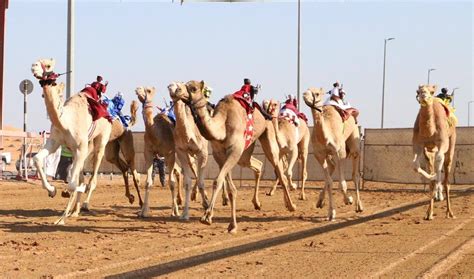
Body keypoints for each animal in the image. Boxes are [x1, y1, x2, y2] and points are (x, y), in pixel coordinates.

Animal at [32, 58, 112, 225]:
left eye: (48, 65)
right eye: (37, 60)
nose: (33, 67)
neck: (66, 122)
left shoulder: (80, 147)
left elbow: (73, 184)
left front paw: (61, 219)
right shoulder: (55, 141)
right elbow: (36, 158)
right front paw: (52, 190)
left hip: (100, 141)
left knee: (92, 178)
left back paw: (84, 205)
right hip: (83, 148)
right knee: (81, 175)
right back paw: (74, 211)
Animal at [135, 86, 185, 218]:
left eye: (148, 90)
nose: (137, 89)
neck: (156, 133)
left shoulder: (169, 153)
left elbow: (171, 182)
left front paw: (175, 212)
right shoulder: (148, 154)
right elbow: (148, 182)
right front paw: (144, 212)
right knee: (179, 171)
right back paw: (180, 200)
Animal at [177, 80, 296, 234]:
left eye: (193, 88)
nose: (178, 90)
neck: (222, 126)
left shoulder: (235, 150)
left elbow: (218, 181)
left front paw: (208, 217)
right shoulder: (220, 154)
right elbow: (229, 187)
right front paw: (228, 224)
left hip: (268, 136)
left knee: (279, 169)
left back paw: (291, 206)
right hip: (245, 152)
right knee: (257, 165)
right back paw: (257, 203)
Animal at [302, 87, 364, 221]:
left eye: (317, 93)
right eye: (306, 90)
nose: (304, 95)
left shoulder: (340, 153)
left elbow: (342, 183)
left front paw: (348, 200)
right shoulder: (320, 156)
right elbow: (330, 182)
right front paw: (331, 213)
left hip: (354, 144)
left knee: (355, 175)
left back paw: (359, 206)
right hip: (330, 155)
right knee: (332, 168)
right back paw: (320, 202)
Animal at [412, 84, 458, 220]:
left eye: (431, 91)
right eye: (418, 91)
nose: (424, 95)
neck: (429, 131)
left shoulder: (442, 142)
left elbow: (439, 158)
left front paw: (437, 181)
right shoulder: (419, 145)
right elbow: (415, 165)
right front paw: (432, 177)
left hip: (452, 141)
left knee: (447, 174)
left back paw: (450, 212)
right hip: (430, 150)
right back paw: (429, 213)